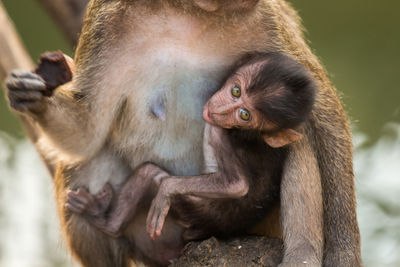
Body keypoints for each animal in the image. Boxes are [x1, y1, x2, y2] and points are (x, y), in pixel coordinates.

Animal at [67, 52, 318, 249]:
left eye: (244, 115)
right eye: (236, 91)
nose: (221, 110)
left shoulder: (219, 134)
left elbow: (236, 185)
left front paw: (167, 189)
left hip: (195, 212)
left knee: (150, 174)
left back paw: (106, 223)